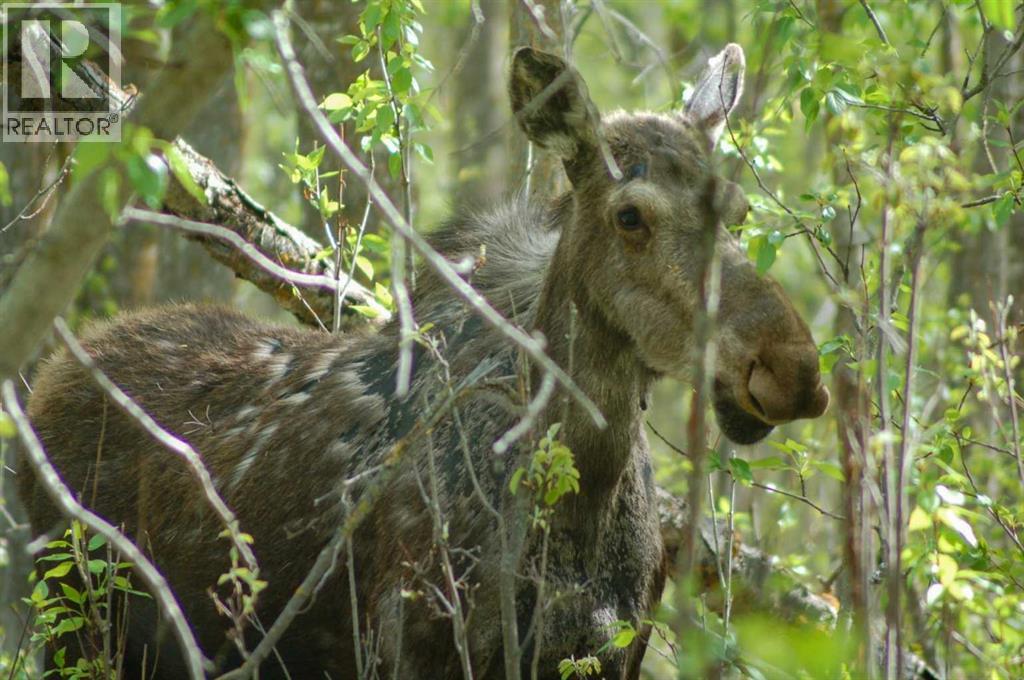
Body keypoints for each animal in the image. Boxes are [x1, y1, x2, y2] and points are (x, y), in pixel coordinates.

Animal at [19, 44, 829, 679]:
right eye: (630, 215)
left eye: (739, 209)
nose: (791, 369)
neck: (582, 499)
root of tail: (46, 378)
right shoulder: (416, 641)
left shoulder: (611, 652)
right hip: (77, 623)